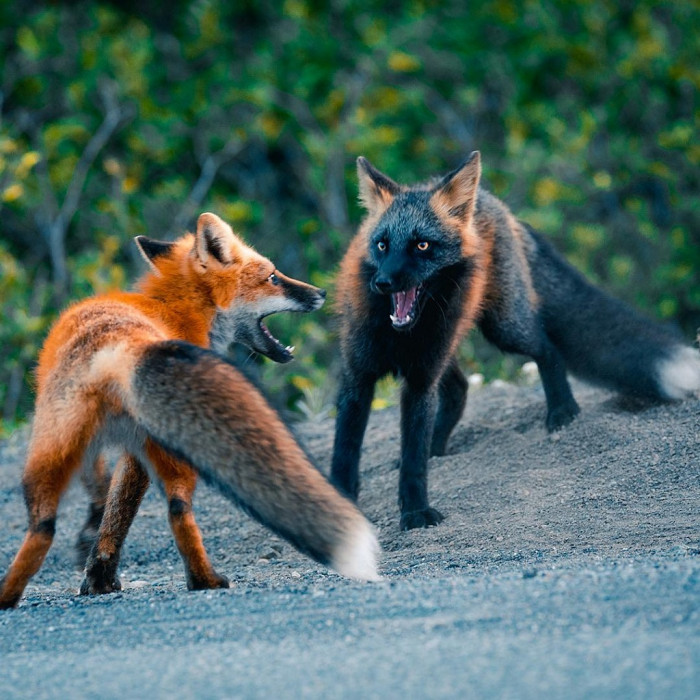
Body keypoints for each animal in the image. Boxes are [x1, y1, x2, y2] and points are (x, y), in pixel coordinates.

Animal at [0, 212, 380, 608]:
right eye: (273, 276)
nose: (321, 293)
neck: (176, 313)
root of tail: (115, 347)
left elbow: (109, 509)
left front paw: (97, 572)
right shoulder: (137, 454)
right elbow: (122, 511)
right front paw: (101, 574)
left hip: (49, 452)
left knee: (42, 527)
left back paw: (8, 596)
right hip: (171, 448)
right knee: (179, 510)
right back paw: (205, 580)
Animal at [330, 153, 700, 532]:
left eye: (421, 245)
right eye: (382, 244)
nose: (383, 282)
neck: (396, 336)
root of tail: (494, 202)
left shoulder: (420, 381)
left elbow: (413, 461)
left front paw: (416, 512)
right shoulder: (358, 378)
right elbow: (346, 451)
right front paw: (342, 501)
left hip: (503, 328)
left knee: (547, 349)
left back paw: (562, 411)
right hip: (454, 346)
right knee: (460, 389)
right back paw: (440, 446)